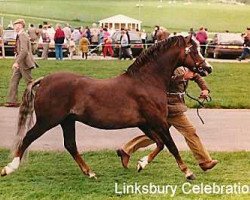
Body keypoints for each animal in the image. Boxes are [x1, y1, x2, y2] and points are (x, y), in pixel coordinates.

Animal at [0, 35, 213, 180]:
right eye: (194, 50)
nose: (208, 68)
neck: (146, 81)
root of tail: (43, 81)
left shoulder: (145, 123)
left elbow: (160, 144)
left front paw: (141, 164)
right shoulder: (157, 121)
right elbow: (171, 145)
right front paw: (188, 172)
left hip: (67, 121)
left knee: (70, 145)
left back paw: (90, 173)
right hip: (47, 121)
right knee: (28, 138)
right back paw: (9, 168)